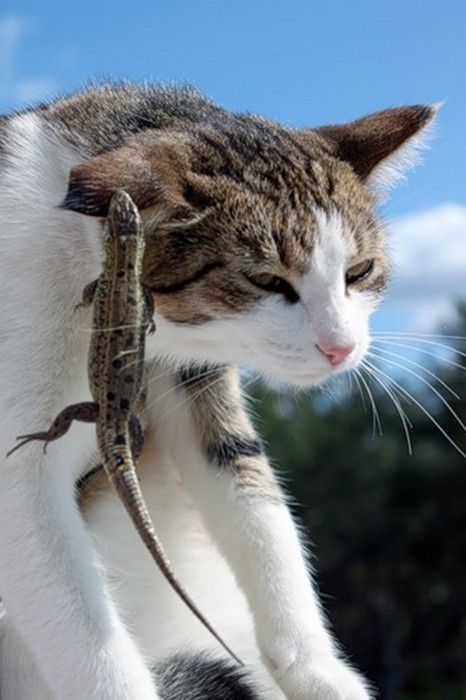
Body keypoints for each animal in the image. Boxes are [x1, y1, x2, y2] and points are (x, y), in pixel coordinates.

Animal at [0, 85, 436, 696]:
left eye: (360, 271)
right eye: (266, 280)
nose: (342, 348)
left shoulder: (195, 377)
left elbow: (253, 497)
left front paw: (319, 672)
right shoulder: (20, 476)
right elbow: (79, 624)